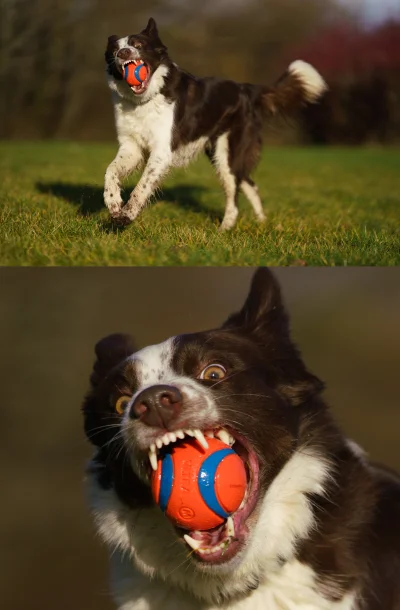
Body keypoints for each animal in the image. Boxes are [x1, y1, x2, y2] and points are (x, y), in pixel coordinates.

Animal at [104, 19, 328, 228]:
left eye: (138, 45)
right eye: (114, 50)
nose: (123, 52)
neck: (143, 101)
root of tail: (246, 89)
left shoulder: (162, 150)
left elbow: (142, 186)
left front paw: (126, 215)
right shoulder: (131, 147)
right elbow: (110, 170)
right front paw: (113, 203)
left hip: (227, 154)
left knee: (234, 197)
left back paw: (224, 230)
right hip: (221, 154)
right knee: (249, 184)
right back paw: (261, 222)